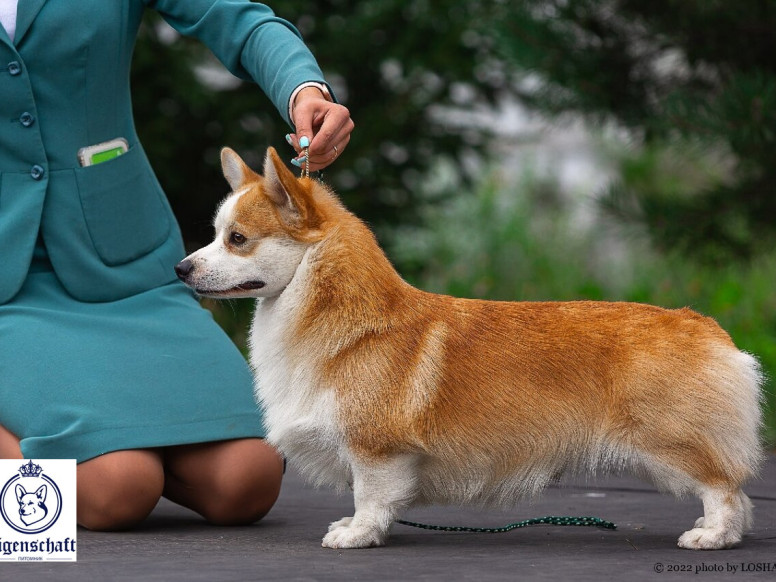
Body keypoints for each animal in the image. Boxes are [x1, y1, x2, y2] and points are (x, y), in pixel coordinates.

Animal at [176, 147, 764, 552]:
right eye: (217, 234)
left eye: (236, 239)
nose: (181, 269)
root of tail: (708, 329)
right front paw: (361, 529)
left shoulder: (375, 449)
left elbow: (370, 494)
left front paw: (357, 535)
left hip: (670, 441)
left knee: (724, 487)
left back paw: (711, 537)